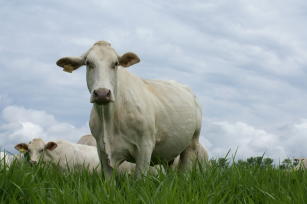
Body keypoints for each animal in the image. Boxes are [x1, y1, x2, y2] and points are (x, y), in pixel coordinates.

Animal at [56, 40, 208, 178]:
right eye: (88, 63)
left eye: (115, 63)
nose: (102, 93)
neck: (110, 118)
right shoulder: (102, 150)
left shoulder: (145, 147)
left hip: (191, 144)